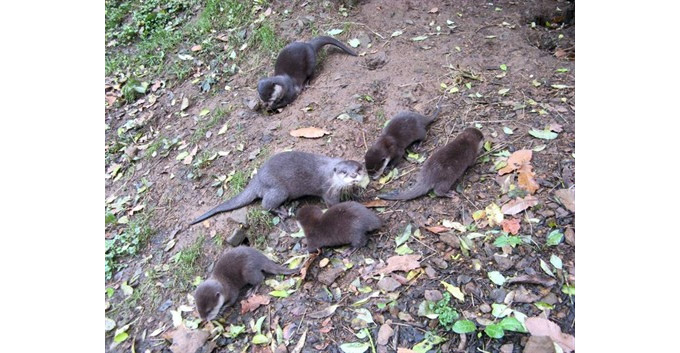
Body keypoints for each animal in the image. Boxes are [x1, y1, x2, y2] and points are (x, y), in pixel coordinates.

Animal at [189, 151, 364, 226]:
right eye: (344, 172)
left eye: (358, 168)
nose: (353, 175)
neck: (330, 173)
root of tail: (258, 179)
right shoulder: (328, 189)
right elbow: (332, 203)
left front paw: (355, 194)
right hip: (279, 190)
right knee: (265, 204)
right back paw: (281, 212)